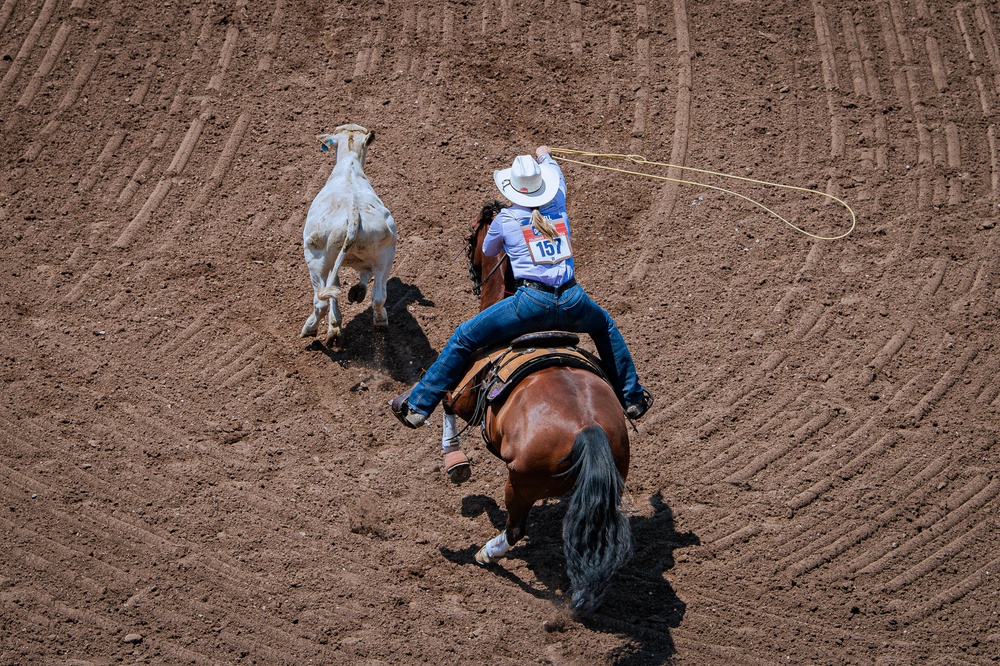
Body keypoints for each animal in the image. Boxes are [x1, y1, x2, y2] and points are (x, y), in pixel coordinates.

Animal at [300, 121, 398, 344]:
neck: (349, 164)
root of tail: (353, 215)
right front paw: (357, 292)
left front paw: (334, 326)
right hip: (386, 255)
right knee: (379, 297)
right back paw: (380, 322)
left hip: (315, 258)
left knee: (321, 300)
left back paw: (310, 328)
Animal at [446, 200, 632, 608]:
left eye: (471, 236)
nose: (472, 268)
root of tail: (588, 429)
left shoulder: (462, 392)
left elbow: (446, 408)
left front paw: (454, 461)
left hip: (520, 483)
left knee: (515, 529)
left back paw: (485, 554)